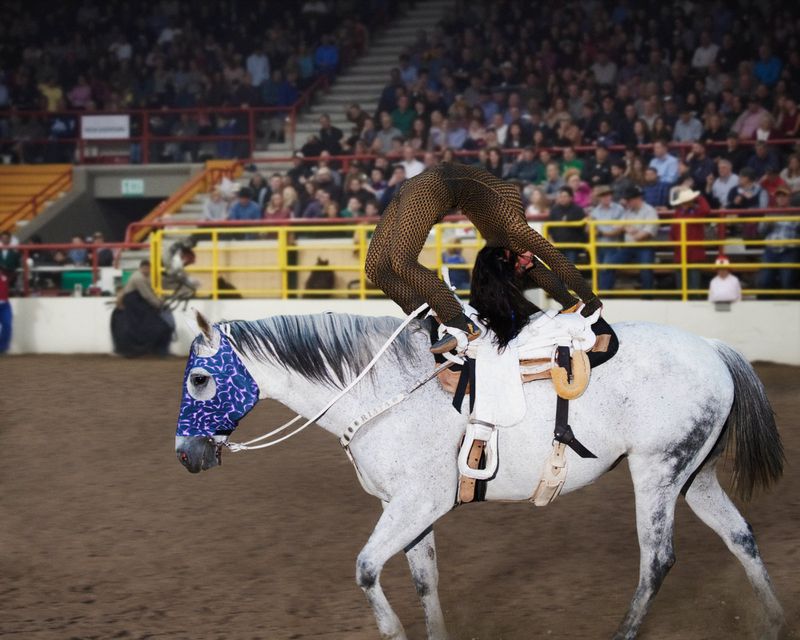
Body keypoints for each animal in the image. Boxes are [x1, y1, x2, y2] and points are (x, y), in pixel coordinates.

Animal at [174, 310, 784, 640]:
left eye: (201, 379)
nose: (185, 455)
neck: (381, 393)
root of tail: (712, 348)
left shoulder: (418, 504)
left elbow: (367, 568)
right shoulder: (404, 509)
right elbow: (425, 578)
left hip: (657, 473)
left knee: (657, 559)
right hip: (695, 475)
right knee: (741, 537)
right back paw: (776, 621)